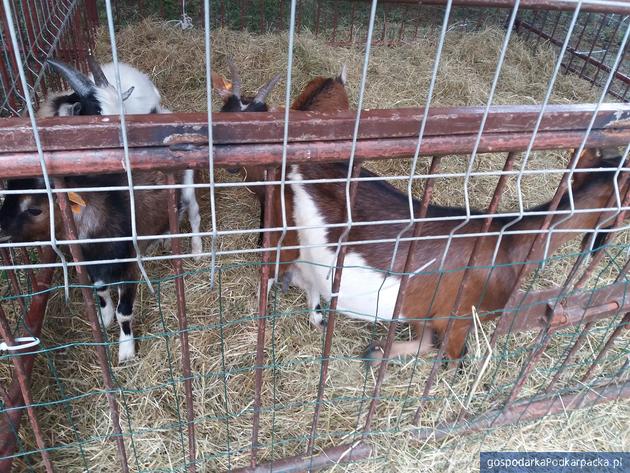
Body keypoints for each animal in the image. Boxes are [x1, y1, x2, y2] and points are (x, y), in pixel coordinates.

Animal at [0, 171, 199, 364]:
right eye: (7, 193)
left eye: (34, 210)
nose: (2, 229)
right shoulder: (91, 262)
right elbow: (100, 289)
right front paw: (105, 316)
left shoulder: (128, 267)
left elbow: (124, 312)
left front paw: (126, 350)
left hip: (188, 185)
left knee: (194, 213)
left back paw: (196, 250)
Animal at [214, 63, 628, 366]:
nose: (602, 242)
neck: (509, 241)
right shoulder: (460, 320)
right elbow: (452, 359)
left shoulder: (426, 314)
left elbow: (426, 345)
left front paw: (376, 351)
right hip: (284, 235)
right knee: (271, 271)